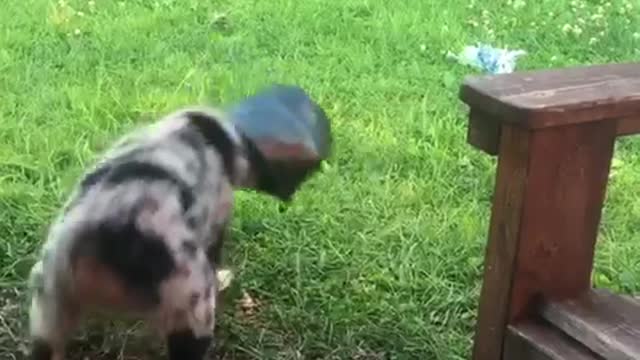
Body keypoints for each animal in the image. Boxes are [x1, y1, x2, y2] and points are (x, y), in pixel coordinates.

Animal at [28, 107, 276, 360]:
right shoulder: (219, 212)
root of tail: (99, 239)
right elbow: (215, 250)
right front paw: (224, 277)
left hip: (48, 301)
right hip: (188, 297)